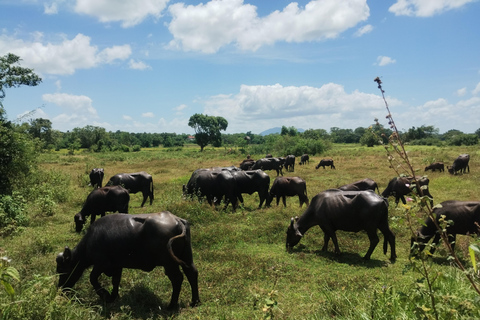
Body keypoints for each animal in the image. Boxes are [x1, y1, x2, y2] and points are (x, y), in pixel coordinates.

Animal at [55, 211, 200, 308]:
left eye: (62, 269)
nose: (61, 288)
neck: (90, 241)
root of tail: (177, 220)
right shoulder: (117, 265)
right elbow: (115, 280)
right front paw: (113, 296)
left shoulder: (101, 263)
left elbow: (93, 278)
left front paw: (105, 295)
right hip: (186, 256)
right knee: (192, 272)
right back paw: (195, 301)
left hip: (169, 262)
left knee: (177, 279)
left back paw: (172, 305)